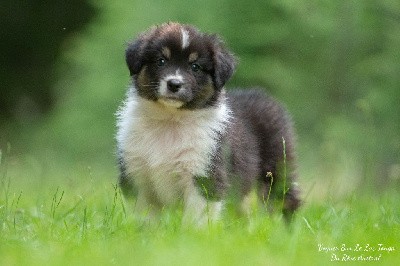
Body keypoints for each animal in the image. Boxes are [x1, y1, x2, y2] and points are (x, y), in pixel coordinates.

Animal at [115, 22, 300, 224]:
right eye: (161, 61)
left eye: (195, 66)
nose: (174, 84)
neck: (170, 120)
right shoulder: (136, 174)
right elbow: (143, 215)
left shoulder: (204, 172)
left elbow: (197, 217)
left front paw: (193, 232)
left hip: (277, 168)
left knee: (285, 200)